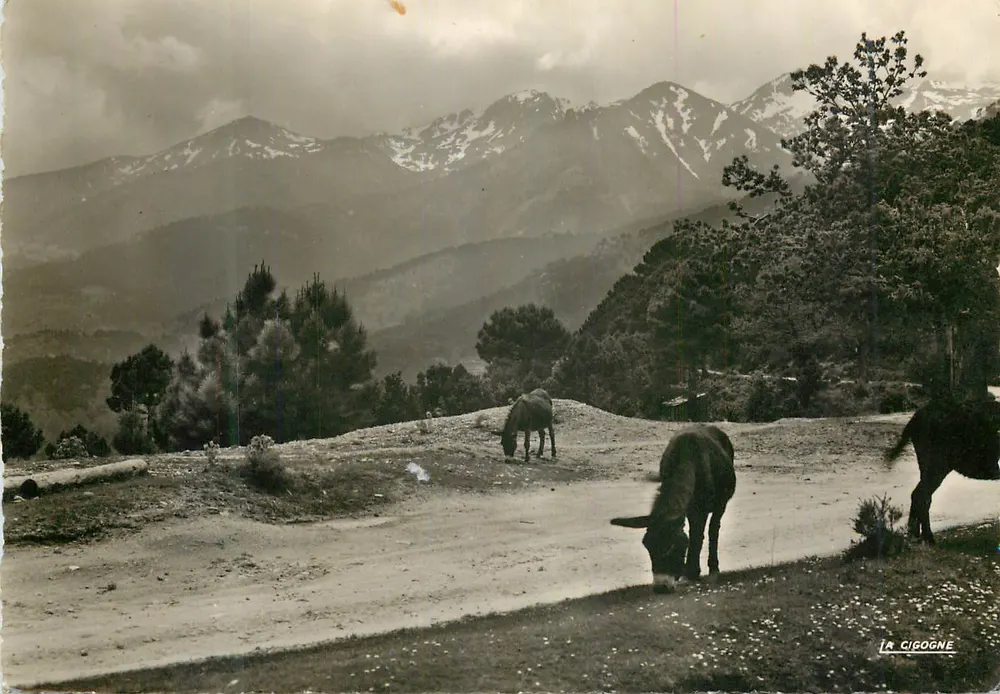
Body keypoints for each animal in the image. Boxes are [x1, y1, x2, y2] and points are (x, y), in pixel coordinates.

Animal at [611, 424, 737, 594]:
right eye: (647, 545)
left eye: (672, 547)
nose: (661, 587)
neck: (688, 456)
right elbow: (694, 535)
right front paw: (689, 572)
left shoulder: (701, 509)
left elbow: (696, 537)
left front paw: (691, 573)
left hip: (721, 503)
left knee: (713, 529)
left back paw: (713, 569)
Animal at [883, 397, 1000, 544]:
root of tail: (916, 418)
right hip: (937, 464)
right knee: (922, 496)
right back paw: (928, 538)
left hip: (929, 465)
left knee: (919, 495)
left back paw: (915, 535)